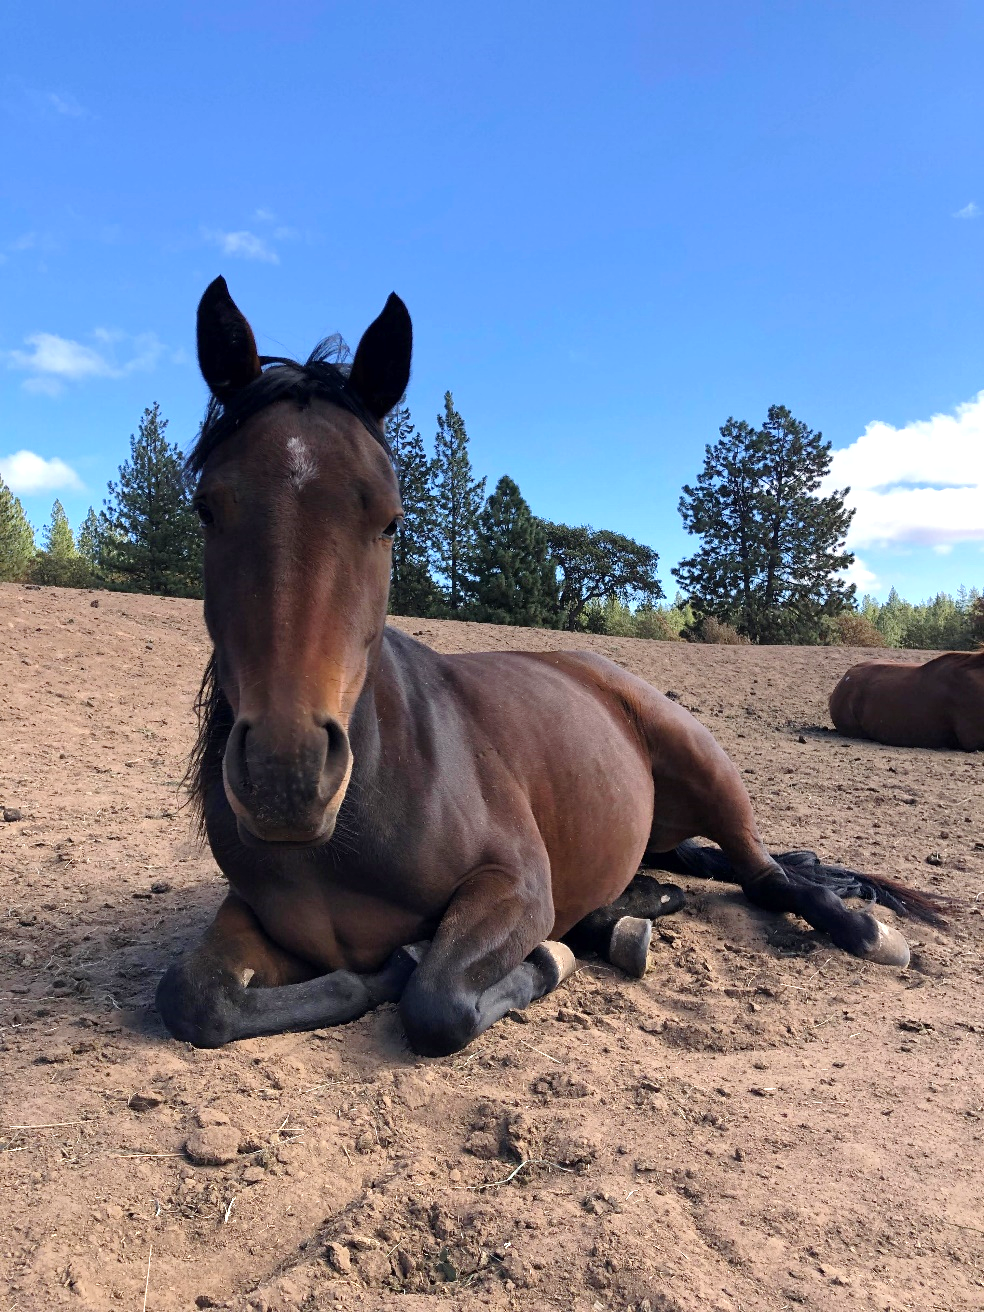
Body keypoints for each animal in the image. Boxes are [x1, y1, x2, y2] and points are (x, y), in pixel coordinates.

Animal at [156, 277, 944, 1056]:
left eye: (391, 519)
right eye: (206, 508)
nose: (284, 776)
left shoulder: (517, 887)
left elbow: (436, 1001)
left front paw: (540, 959)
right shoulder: (254, 917)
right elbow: (196, 997)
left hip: (706, 767)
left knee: (766, 877)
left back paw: (863, 929)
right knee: (694, 867)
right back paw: (629, 911)